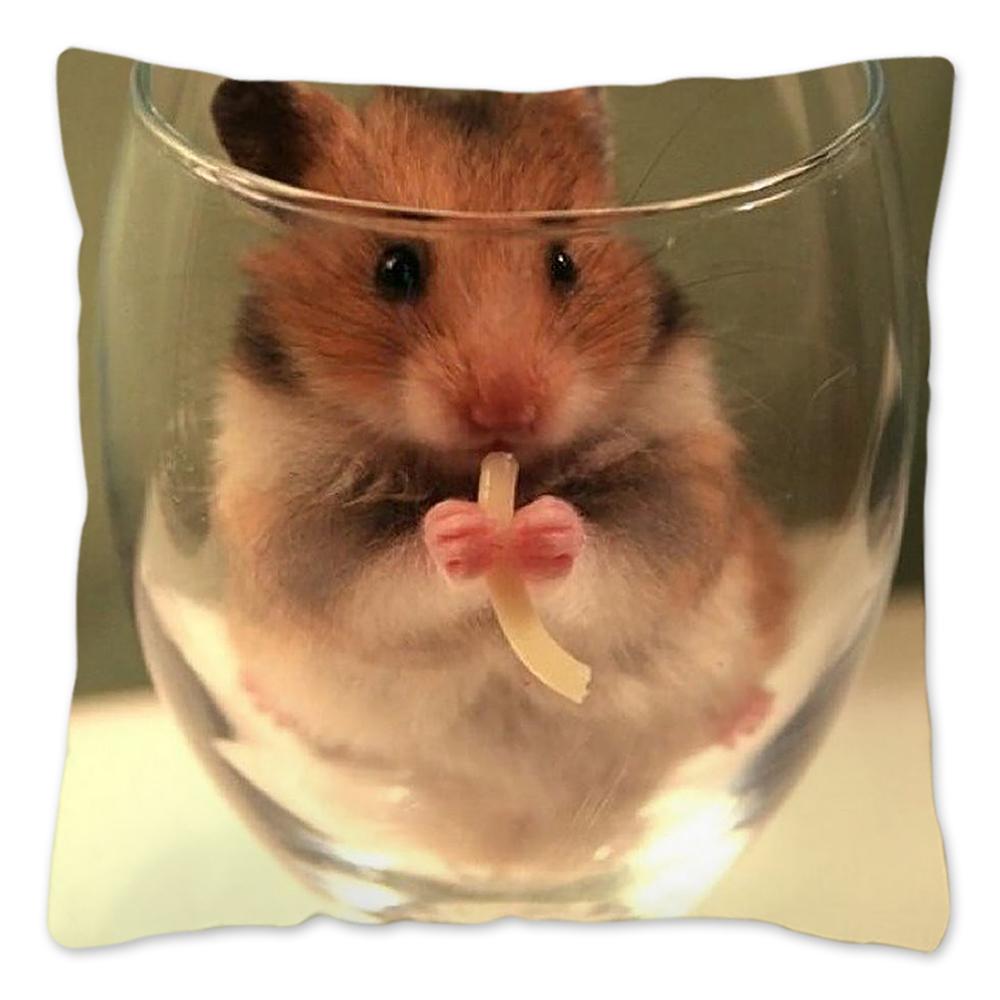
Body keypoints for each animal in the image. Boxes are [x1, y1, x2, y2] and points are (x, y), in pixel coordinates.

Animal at [207, 81, 793, 872]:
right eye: (395, 266)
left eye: (564, 261)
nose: (507, 409)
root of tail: (517, 848)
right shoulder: (299, 527)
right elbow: (383, 574)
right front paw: (461, 530)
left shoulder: (679, 488)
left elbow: (618, 557)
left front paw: (544, 528)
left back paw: (746, 716)